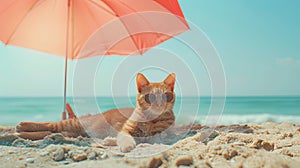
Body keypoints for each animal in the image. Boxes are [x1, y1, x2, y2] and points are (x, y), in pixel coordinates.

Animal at [16, 72, 176, 152]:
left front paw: (111, 140)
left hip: (72, 133)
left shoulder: (157, 136)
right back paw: (22, 126)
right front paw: (125, 144)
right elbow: (125, 137)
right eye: (150, 97)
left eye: (166, 96)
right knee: (50, 125)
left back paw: (21, 133)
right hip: (73, 124)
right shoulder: (125, 130)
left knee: (51, 132)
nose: (159, 104)